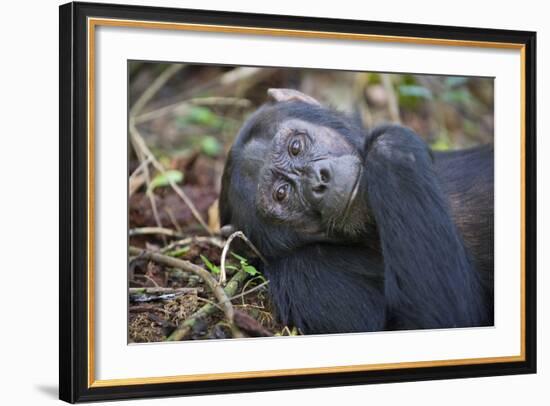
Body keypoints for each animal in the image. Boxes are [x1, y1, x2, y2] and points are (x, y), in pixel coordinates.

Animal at [219, 88, 496, 334]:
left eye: (295, 147)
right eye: (281, 193)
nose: (318, 180)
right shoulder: (305, 275)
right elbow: (434, 318)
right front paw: (389, 145)